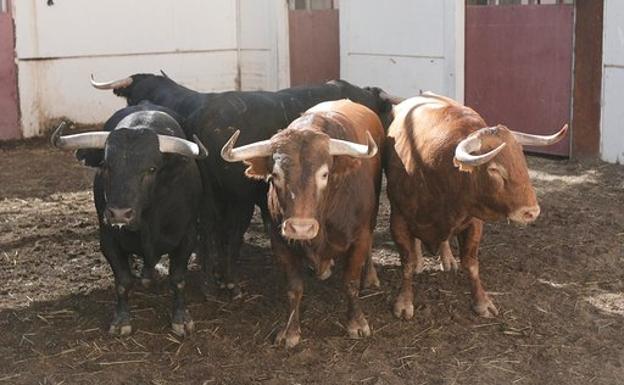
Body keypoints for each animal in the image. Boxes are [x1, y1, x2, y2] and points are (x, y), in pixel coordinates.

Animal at [222, 100, 382, 346]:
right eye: (275, 175)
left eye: (324, 174)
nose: (301, 228)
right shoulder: (279, 242)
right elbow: (294, 288)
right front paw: (290, 331)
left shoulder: (360, 237)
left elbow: (351, 282)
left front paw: (356, 322)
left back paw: (370, 276)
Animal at [386, 92, 564, 318]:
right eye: (494, 169)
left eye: (522, 161)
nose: (531, 212)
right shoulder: (398, 218)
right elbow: (407, 264)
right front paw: (404, 302)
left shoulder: (474, 222)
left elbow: (471, 265)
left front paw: (482, 301)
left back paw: (448, 259)